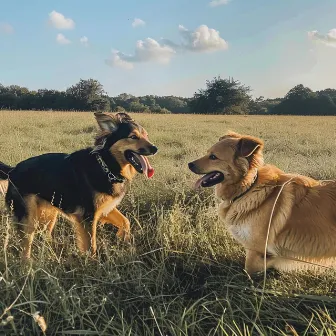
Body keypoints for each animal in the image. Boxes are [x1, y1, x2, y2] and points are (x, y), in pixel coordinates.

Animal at [0, 111, 158, 258]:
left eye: (146, 136)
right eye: (133, 137)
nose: (155, 148)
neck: (106, 166)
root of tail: (13, 170)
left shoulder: (104, 208)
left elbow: (125, 221)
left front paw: (123, 238)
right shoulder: (88, 216)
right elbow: (91, 246)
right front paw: (92, 264)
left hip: (49, 214)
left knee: (45, 237)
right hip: (28, 218)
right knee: (26, 248)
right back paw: (28, 265)